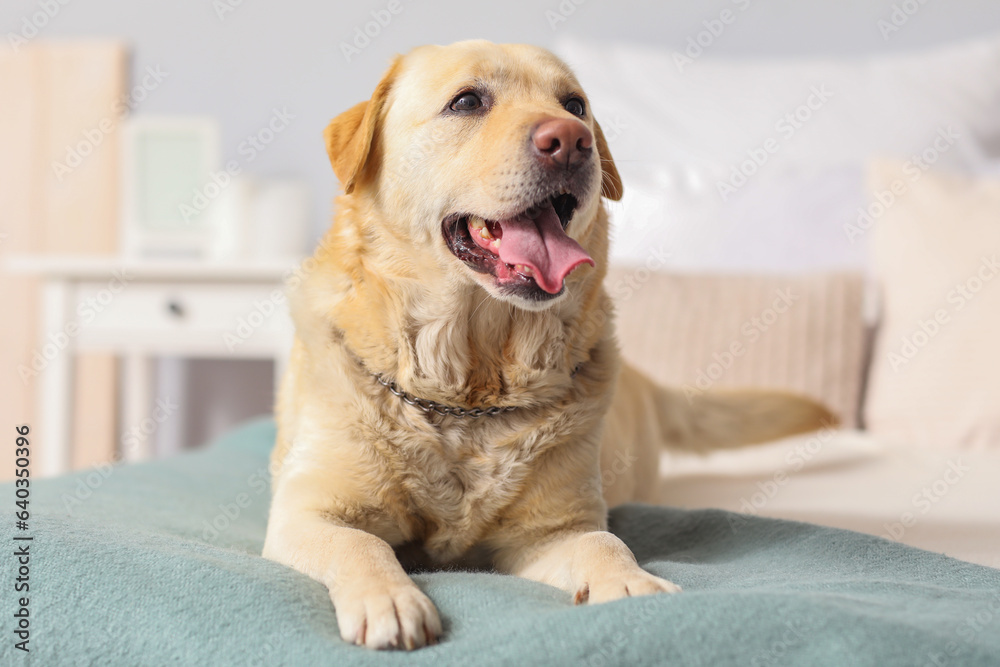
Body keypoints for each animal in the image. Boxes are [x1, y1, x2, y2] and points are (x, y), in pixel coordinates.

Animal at [262, 39, 832, 648]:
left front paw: (631, 583)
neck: (468, 386)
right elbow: (359, 543)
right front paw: (388, 598)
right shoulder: (309, 514)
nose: (572, 141)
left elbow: (604, 542)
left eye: (575, 105)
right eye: (467, 101)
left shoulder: (551, 531)